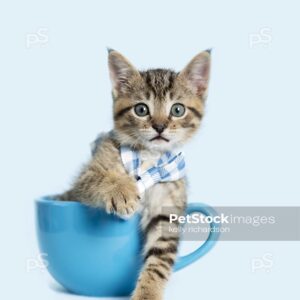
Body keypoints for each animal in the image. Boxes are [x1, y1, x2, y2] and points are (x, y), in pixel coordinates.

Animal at [57, 49, 210, 300]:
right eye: (141, 109)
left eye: (177, 109)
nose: (159, 126)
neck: (149, 156)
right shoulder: (85, 179)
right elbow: (98, 178)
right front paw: (121, 191)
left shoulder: (167, 210)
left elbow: (159, 260)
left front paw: (147, 293)